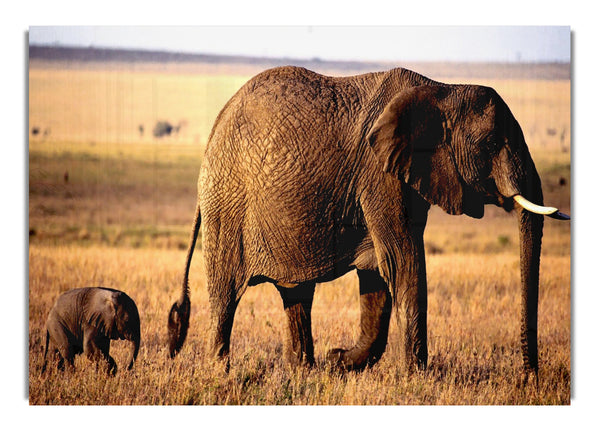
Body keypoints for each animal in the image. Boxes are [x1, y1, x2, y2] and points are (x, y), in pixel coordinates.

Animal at [168, 66, 568, 372]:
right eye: (490, 144)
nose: (528, 375)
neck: (441, 89)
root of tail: (215, 128)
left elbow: (377, 271)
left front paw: (339, 361)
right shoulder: (379, 175)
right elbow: (401, 261)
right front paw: (416, 378)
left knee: (296, 294)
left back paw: (303, 370)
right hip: (227, 204)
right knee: (225, 294)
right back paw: (220, 371)